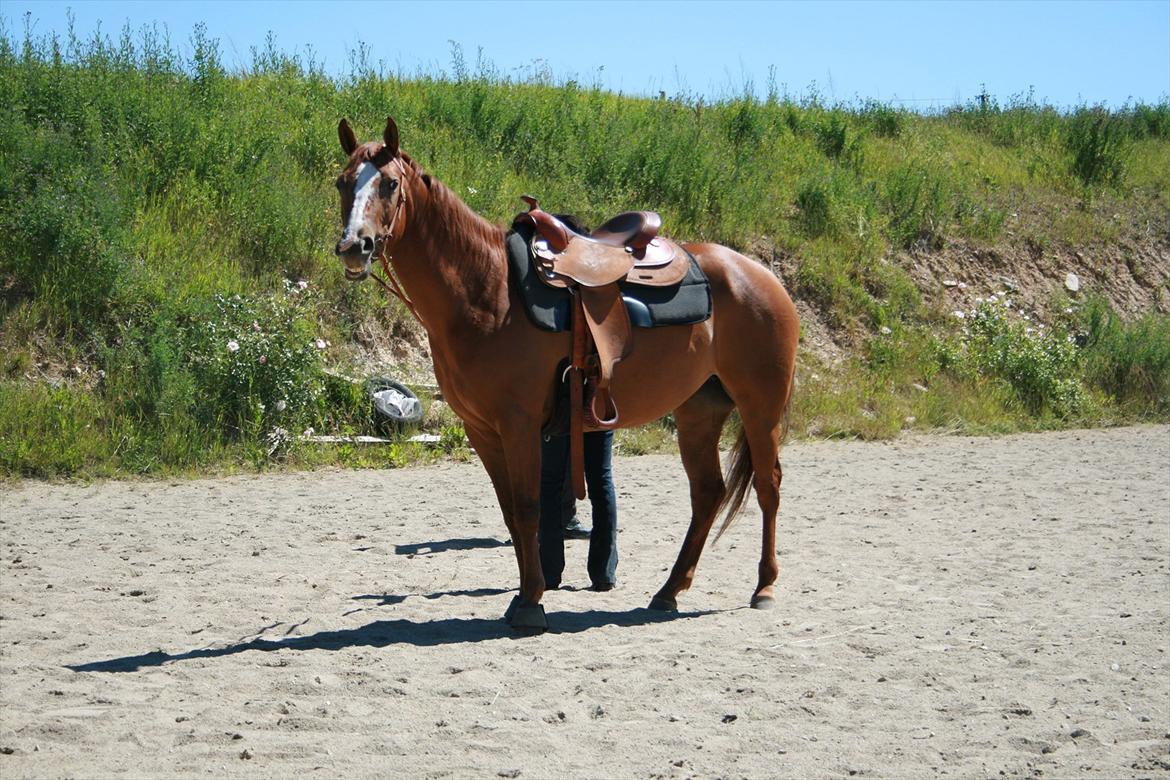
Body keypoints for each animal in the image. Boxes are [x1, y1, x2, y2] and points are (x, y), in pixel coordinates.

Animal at [334, 117, 800, 636]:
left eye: (390, 184)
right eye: (341, 183)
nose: (355, 246)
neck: (488, 291)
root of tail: (761, 275)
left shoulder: (518, 426)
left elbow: (527, 508)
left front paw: (530, 603)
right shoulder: (483, 431)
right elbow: (512, 515)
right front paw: (526, 594)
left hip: (760, 407)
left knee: (768, 485)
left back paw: (764, 588)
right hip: (699, 411)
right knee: (708, 493)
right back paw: (668, 591)